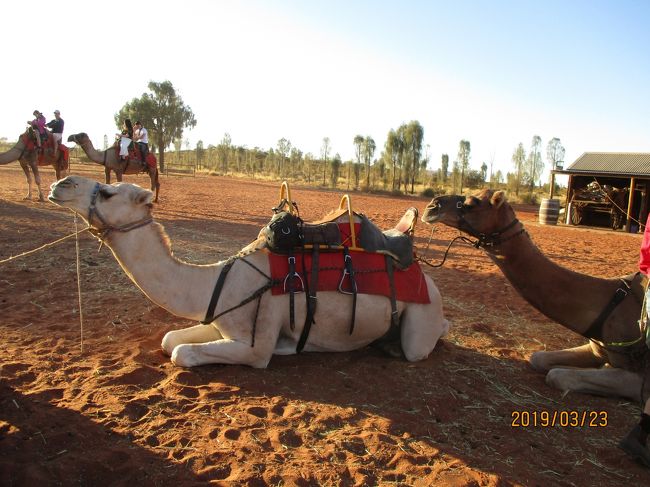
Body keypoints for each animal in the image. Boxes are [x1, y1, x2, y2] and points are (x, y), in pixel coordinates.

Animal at [48, 177, 448, 368]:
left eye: (108, 192)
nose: (60, 184)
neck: (217, 282)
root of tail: (430, 282)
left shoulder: (256, 345)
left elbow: (183, 354)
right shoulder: (221, 319)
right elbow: (169, 340)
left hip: (421, 323)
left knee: (422, 344)